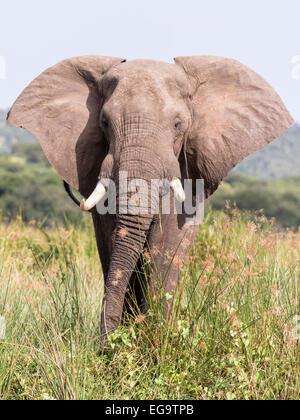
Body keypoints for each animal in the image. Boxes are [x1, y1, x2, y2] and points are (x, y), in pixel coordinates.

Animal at [6, 55, 292, 344]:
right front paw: (126, 341)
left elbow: (167, 243)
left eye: (178, 125)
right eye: (105, 122)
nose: (105, 345)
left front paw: (153, 339)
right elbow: (113, 241)